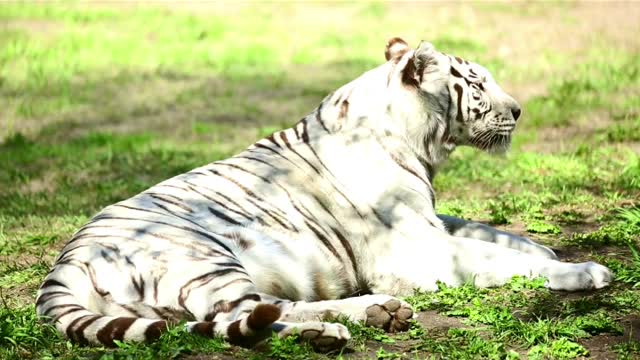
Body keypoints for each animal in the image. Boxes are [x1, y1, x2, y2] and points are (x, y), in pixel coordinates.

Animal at [37, 38, 612, 352]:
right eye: (475, 84)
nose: (518, 110)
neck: (417, 141)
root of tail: (64, 264)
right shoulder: (416, 252)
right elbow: (496, 256)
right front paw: (582, 271)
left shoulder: (429, 219)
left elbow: (489, 231)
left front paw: (546, 247)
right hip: (207, 260)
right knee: (251, 316)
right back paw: (342, 327)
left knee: (234, 318)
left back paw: (372, 316)